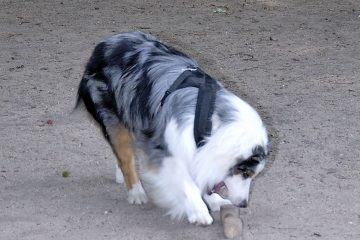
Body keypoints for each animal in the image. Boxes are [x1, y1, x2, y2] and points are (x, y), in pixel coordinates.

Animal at [77, 31, 268, 225]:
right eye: (245, 173)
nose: (243, 204)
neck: (209, 119)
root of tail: (105, 43)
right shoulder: (165, 149)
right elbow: (186, 181)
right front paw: (198, 211)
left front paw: (215, 200)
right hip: (114, 120)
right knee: (125, 157)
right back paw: (136, 192)